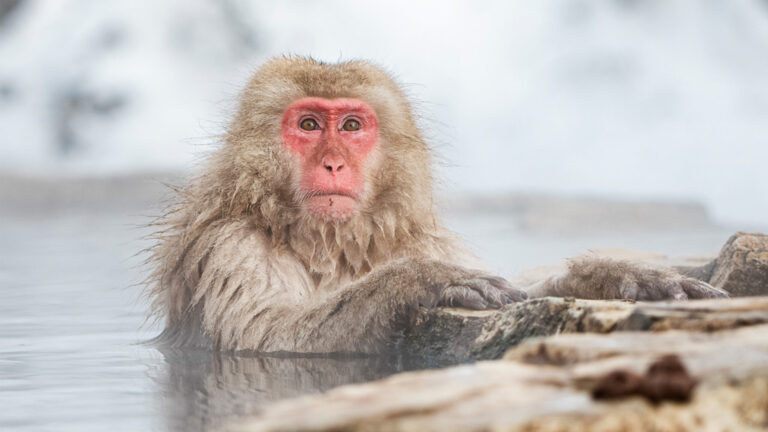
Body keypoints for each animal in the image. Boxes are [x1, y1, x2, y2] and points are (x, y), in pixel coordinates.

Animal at [147, 56, 727, 354]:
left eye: (351, 125)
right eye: (309, 124)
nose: (333, 163)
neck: (329, 242)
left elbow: (524, 291)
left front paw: (617, 276)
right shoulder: (230, 244)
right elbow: (265, 338)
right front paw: (420, 279)